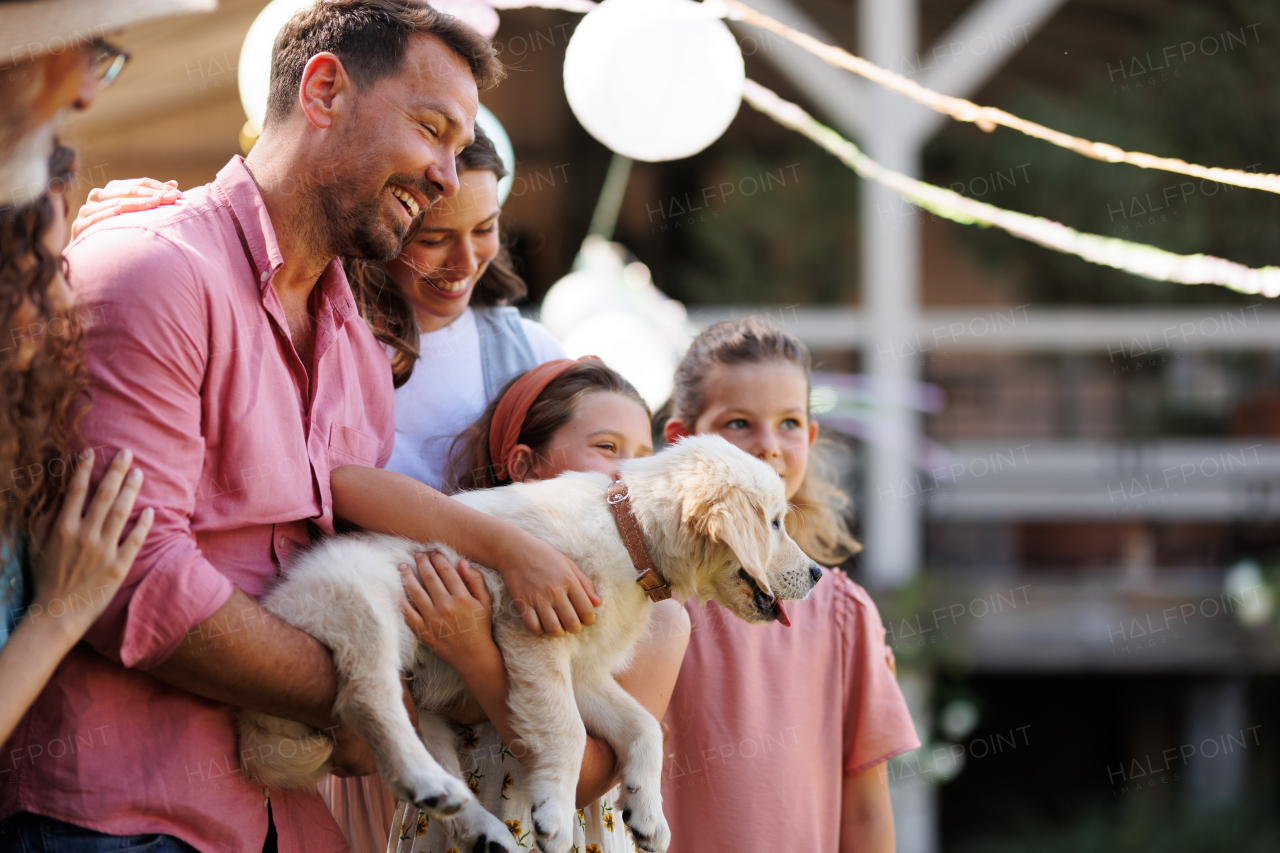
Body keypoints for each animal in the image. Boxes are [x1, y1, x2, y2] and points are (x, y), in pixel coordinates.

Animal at [236, 438, 824, 850]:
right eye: (774, 523)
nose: (819, 574)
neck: (628, 534)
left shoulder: (583, 670)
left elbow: (643, 726)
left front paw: (648, 814)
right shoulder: (536, 637)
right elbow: (567, 730)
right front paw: (554, 816)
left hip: (428, 715)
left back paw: (482, 829)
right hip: (362, 604)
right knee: (368, 698)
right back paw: (432, 785)